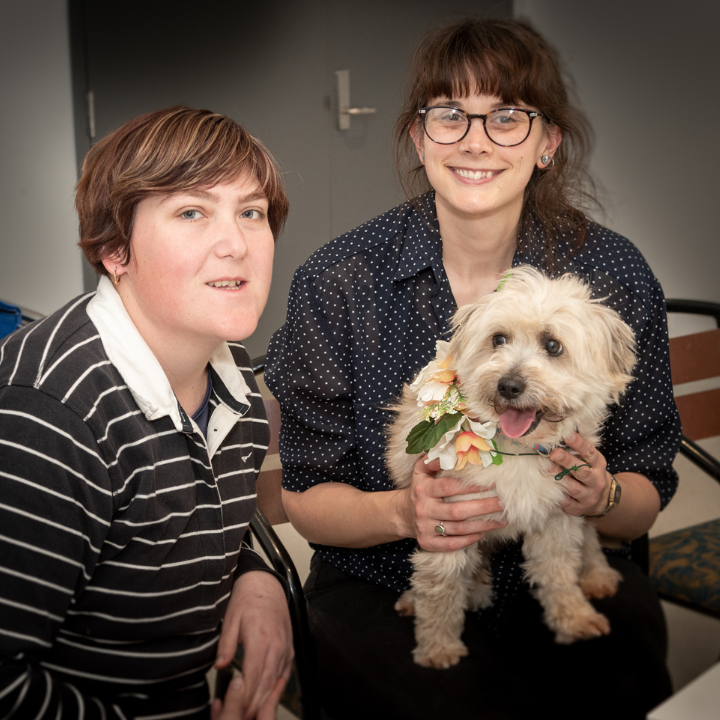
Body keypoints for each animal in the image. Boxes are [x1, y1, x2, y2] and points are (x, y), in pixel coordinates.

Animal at [388, 264, 636, 668]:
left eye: (553, 345)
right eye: (498, 339)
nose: (508, 385)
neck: (518, 452)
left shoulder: (558, 517)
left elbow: (560, 575)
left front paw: (574, 618)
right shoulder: (447, 528)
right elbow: (439, 594)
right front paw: (438, 647)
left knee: (590, 537)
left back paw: (597, 574)